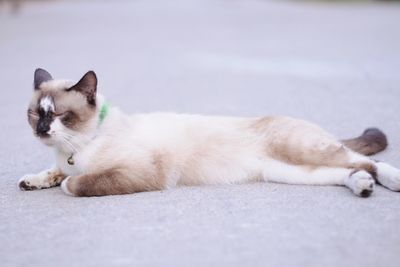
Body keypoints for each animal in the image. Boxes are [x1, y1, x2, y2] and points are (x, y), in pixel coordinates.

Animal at [18, 69, 400, 198]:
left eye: (61, 116)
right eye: (35, 114)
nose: (42, 129)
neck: (75, 148)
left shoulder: (137, 172)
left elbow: (75, 183)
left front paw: (67, 183)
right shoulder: (63, 162)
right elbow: (53, 173)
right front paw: (31, 181)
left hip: (302, 152)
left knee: (363, 160)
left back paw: (389, 182)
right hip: (294, 173)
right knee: (350, 170)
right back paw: (362, 187)